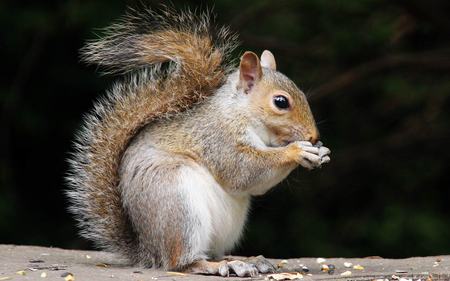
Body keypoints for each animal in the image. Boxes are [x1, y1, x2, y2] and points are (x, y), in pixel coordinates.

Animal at [66, 6, 330, 276]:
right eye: (281, 102)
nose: (313, 137)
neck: (239, 112)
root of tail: (148, 250)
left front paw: (320, 152)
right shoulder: (217, 138)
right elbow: (243, 171)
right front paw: (297, 151)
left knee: (212, 251)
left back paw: (246, 260)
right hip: (178, 205)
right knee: (181, 262)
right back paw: (216, 265)